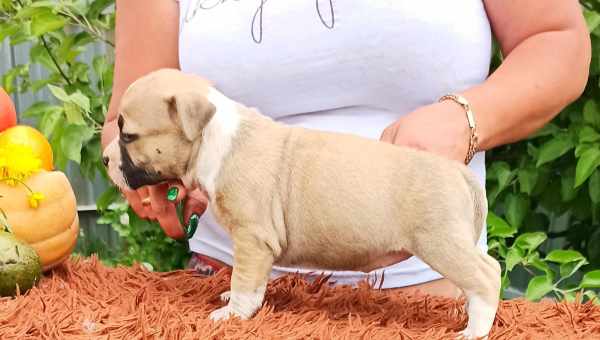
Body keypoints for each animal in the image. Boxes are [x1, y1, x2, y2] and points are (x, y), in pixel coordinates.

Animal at [103, 69, 502, 340]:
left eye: (129, 136)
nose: (106, 159)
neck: (216, 137)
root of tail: (456, 171)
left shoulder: (251, 238)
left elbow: (245, 279)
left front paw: (233, 314)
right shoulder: (257, 246)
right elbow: (251, 280)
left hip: (440, 240)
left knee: (486, 274)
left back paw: (476, 328)